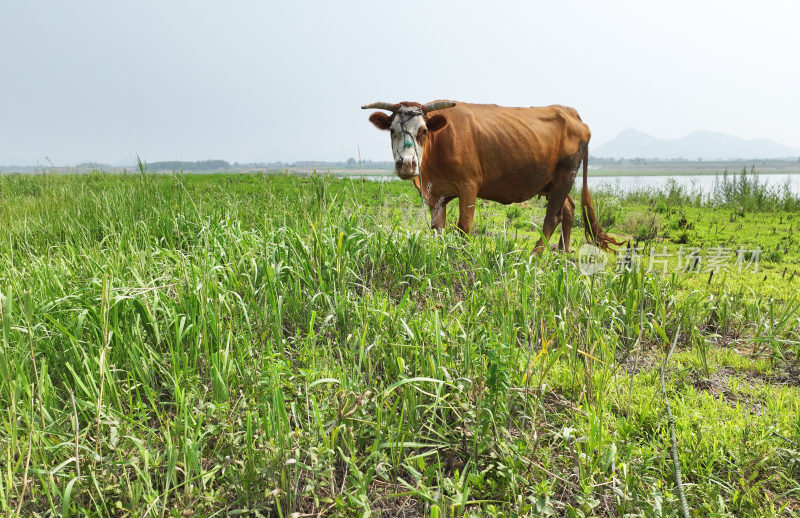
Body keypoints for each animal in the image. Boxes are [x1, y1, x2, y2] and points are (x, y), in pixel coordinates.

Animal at [362, 100, 620, 254]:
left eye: (423, 131)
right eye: (392, 131)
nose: (407, 163)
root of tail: (569, 111)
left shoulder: (469, 186)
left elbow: (464, 226)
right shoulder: (434, 194)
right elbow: (437, 229)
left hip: (566, 175)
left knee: (552, 217)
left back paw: (535, 257)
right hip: (553, 182)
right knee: (568, 210)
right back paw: (563, 255)